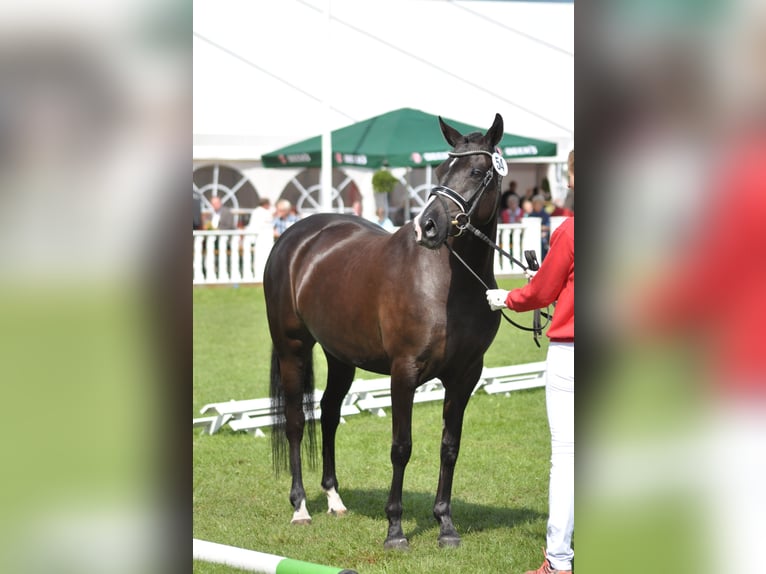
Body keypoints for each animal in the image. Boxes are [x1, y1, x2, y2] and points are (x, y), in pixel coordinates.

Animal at [268, 115, 508, 552]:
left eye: (477, 171)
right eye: (439, 170)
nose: (427, 227)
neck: (448, 283)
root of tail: (295, 237)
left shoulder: (466, 375)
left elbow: (449, 447)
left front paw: (445, 525)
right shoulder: (404, 372)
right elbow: (401, 447)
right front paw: (395, 529)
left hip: (340, 357)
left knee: (328, 414)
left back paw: (334, 499)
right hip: (291, 348)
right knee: (295, 421)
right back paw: (301, 508)